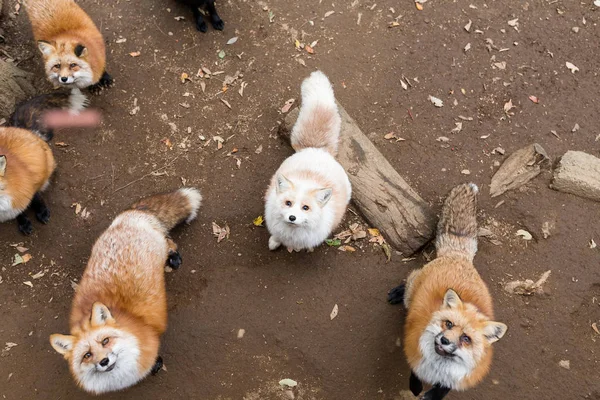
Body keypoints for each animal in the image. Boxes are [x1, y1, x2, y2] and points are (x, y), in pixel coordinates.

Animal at [48, 188, 202, 394]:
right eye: (87, 355)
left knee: (170, 242)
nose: (104, 361)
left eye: (105, 341)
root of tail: (130, 213)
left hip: (161, 246)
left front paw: (156, 365)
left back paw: (174, 258)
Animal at [390, 184, 506, 400]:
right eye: (448, 324)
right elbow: (415, 372)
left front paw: (434, 394)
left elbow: (446, 387)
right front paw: (416, 387)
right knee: (410, 279)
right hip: (412, 289)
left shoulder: (462, 375)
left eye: (466, 339)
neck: (439, 367)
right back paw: (398, 292)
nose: (444, 340)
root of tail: (457, 256)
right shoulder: (413, 348)